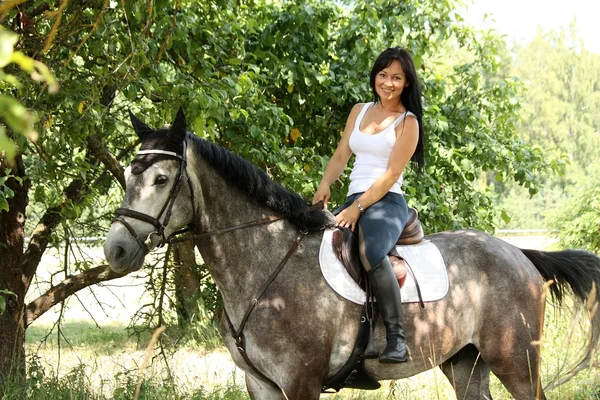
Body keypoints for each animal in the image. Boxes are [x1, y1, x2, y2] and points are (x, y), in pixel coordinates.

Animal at [104, 108, 600, 400]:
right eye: (129, 175)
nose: (116, 249)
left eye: (162, 179)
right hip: (464, 364)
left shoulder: (301, 382)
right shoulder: (260, 384)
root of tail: (519, 254)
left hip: (516, 364)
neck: (265, 268)